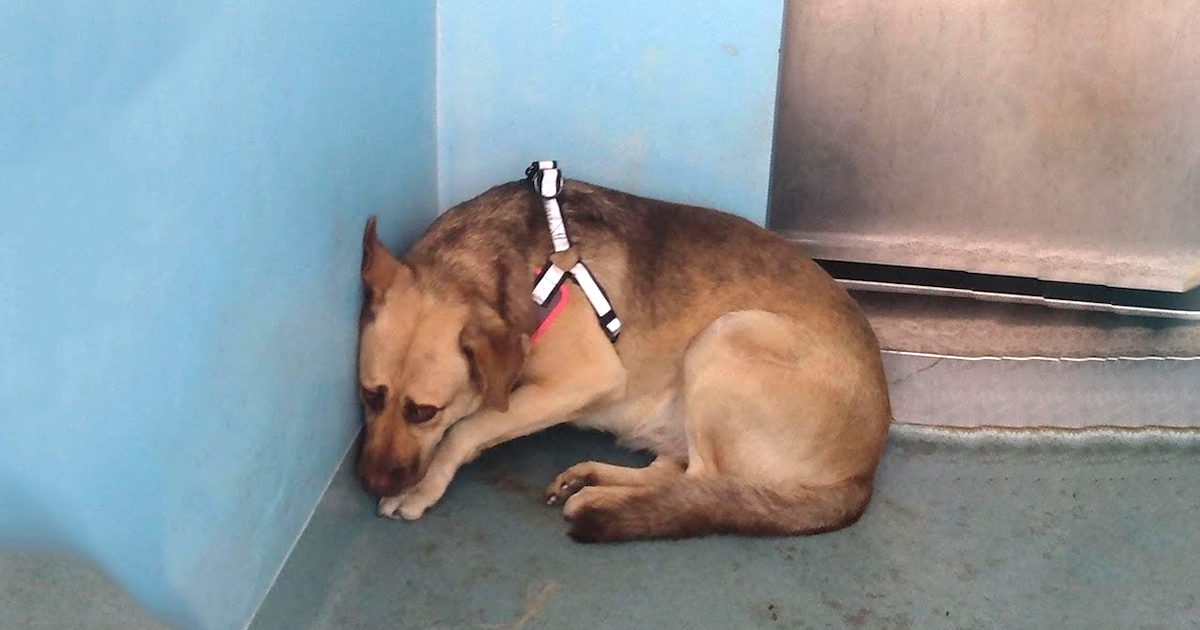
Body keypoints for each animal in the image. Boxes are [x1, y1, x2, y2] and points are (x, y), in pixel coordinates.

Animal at [355, 172, 892, 540]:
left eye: (425, 412)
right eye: (369, 396)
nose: (373, 483)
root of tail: (864, 474)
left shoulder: (585, 378)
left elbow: (467, 428)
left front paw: (421, 487)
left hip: (725, 336)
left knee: (700, 479)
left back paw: (601, 500)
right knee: (672, 474)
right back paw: (591, 479)